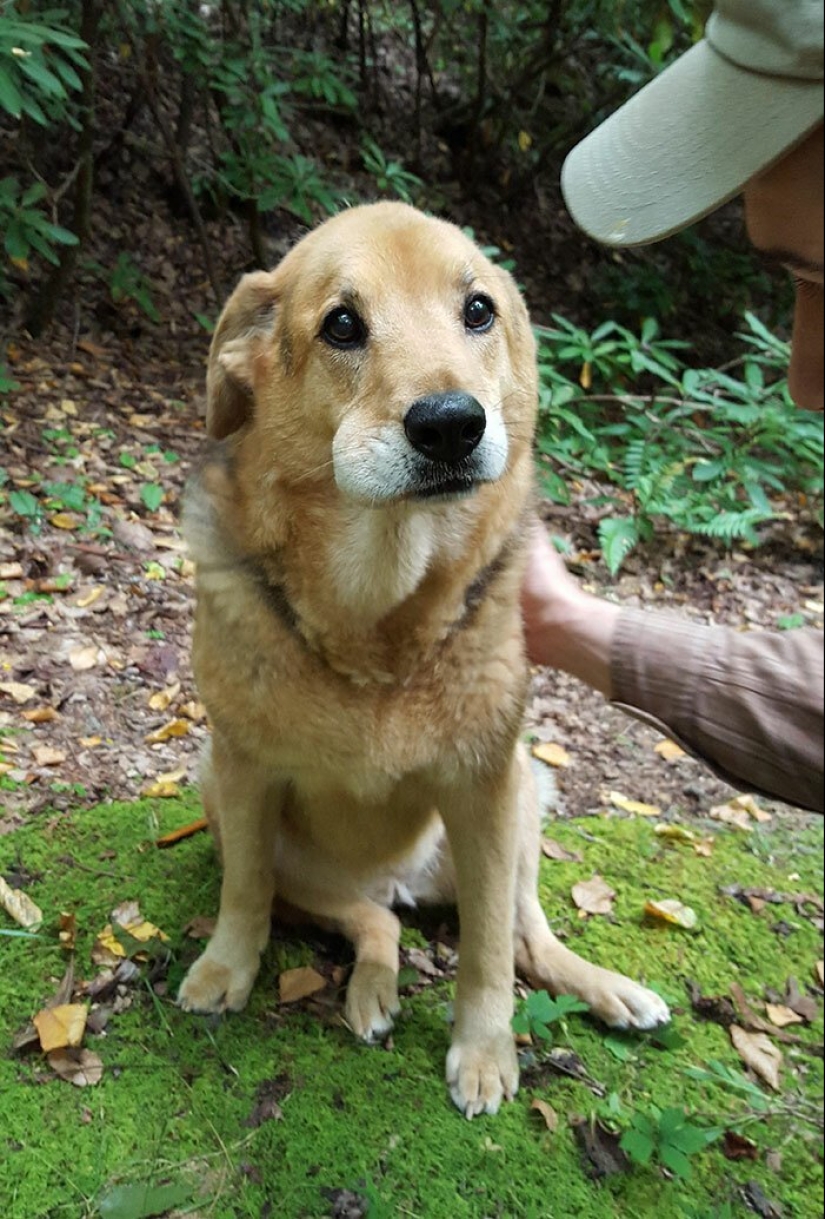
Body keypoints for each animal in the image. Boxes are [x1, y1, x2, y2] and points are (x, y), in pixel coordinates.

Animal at [176, 202, 667, 1116]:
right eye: (341, 323)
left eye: (478, 310)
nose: (450, 423)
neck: (376, 619)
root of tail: (399, 878)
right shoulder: (243, 770)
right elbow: (243, 893)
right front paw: (228, 967)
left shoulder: (485, 785)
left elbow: (486, 952)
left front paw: (484, 1049)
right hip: (240, 815)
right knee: (377, 921)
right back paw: (372, 985)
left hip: (522, 801)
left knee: (522, 933)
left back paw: (605, 987)